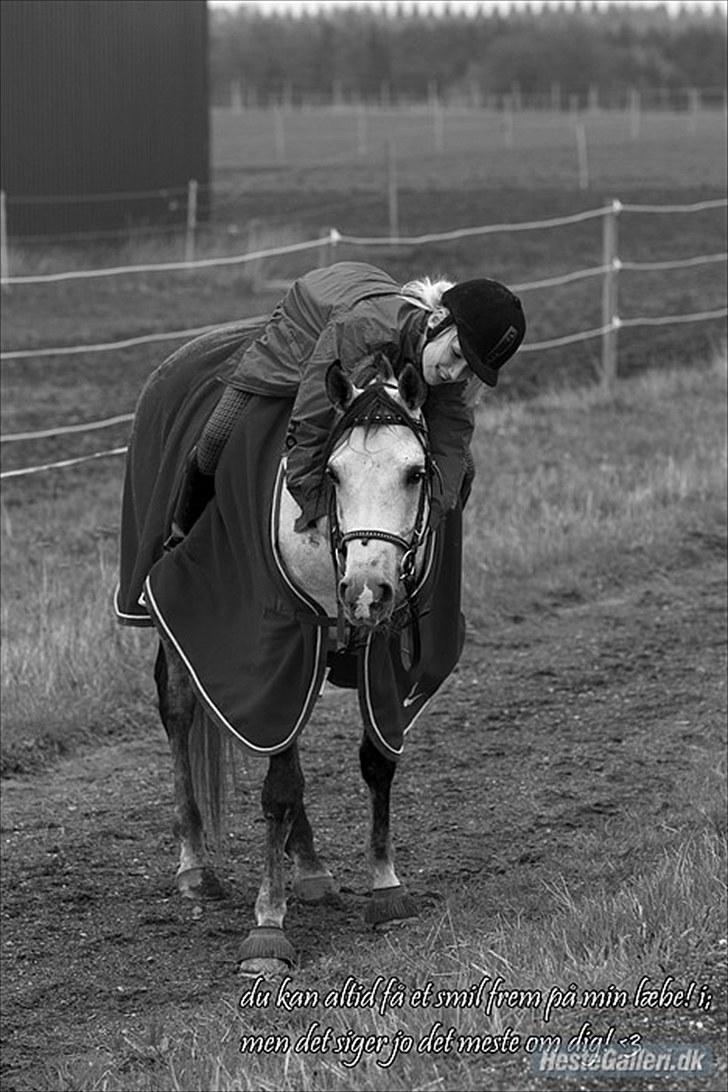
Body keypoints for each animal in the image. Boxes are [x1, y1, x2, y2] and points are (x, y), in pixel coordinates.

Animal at [117, 336, 464, 978]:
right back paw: (194, 863)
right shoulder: (280, 637)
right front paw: (268, 926)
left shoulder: (369, 652)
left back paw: (309, 866)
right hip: (169, 611)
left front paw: (385, 886)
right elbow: (278, 783)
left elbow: (375, 760)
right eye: (333, 473)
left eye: (415, 472)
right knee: (179, 712)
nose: (367, 590)